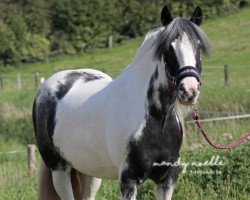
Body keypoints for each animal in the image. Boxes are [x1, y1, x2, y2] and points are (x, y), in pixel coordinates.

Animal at [32, 4, 210, 200]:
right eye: (168, 48)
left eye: (198, 47)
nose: (189, 91)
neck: (157, 120)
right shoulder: (128, 179)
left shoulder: (168, 178)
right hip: (59, 168)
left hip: (89, 170)